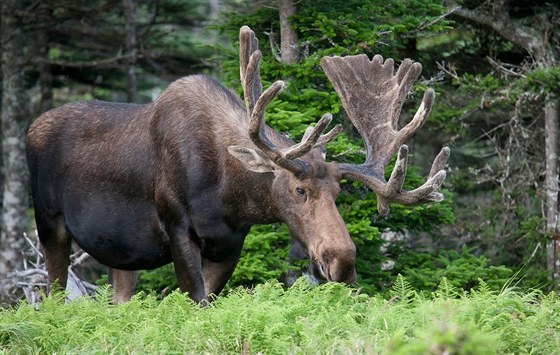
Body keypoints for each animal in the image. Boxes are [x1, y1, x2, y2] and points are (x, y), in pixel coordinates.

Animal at [27, 25, 450, 304]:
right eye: (299, 189)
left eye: (338, 192)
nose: (342, 261)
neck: (228, 196)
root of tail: (30, 127)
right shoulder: (177, 227)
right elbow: (195, 302)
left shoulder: (231, 244)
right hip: (50, 225)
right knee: (51, 297)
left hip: (122, 254)